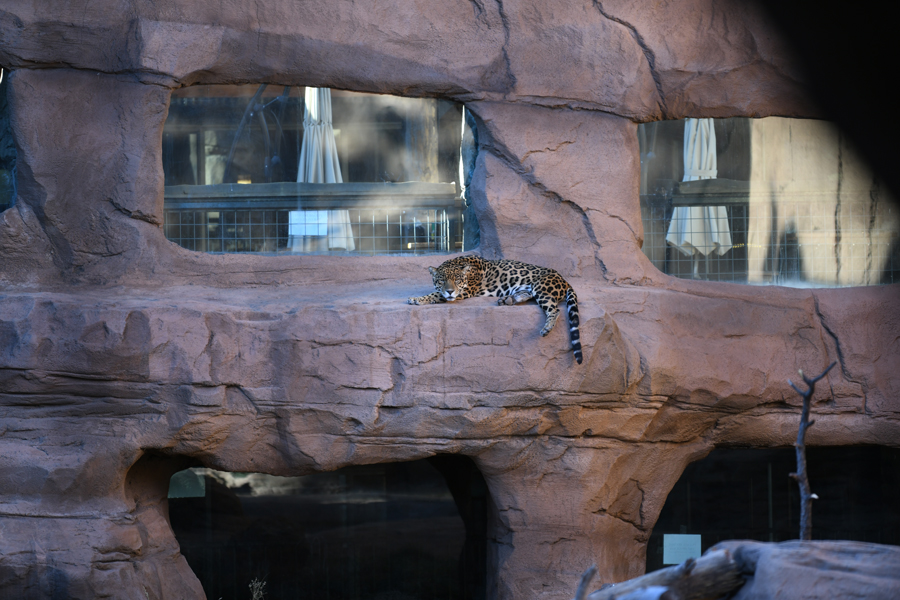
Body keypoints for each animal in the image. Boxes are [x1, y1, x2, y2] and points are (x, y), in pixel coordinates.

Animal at [407, 255, 583, 364]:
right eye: (442, 280)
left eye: (457, 280)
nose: (450, 291)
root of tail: (564, 280)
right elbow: (437, 292)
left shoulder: (465, 291)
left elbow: (436, 294)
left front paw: (416, 299)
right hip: (532, 288)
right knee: (528, 295)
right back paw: (508, 299)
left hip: (542, 287)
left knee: (555, 309)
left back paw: (546, 328)